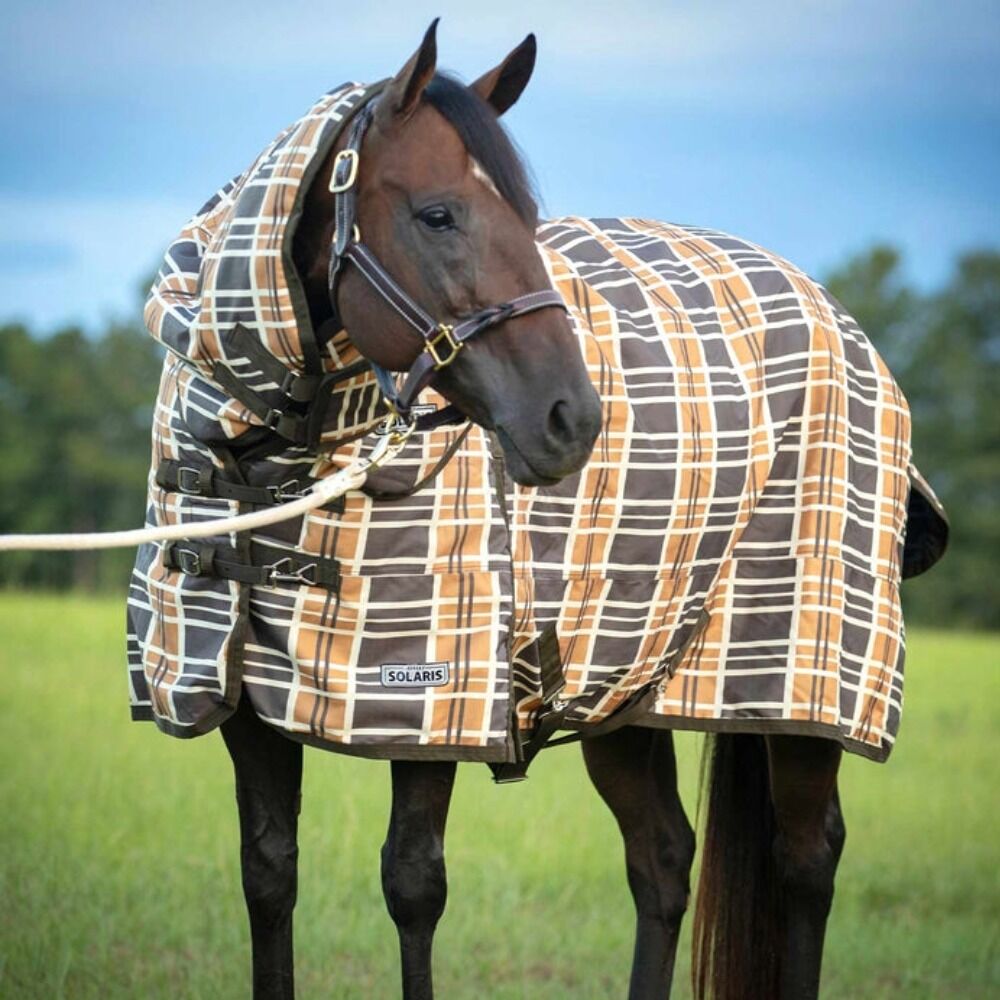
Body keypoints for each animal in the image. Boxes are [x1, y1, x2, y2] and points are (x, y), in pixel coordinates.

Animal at [127, 20, 946, 1000]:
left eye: (524, 216)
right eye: (438, 214)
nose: (572, 418)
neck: (272, 461)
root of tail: (834, 312)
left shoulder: (434, 701)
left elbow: (412, 887)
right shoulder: (240, 705)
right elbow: (268, 876)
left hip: (798, 683)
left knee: (806, 859)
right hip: (630, 687)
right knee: (663, 861)